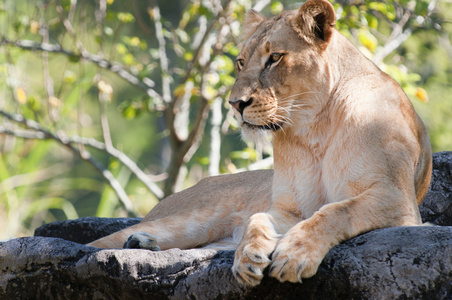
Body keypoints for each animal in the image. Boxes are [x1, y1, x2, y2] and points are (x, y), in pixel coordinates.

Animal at [87, 0, 430, 288]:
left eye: (274, 58)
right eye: (241, 62)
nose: (235, 103)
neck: (314, 126)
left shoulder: (397, 201)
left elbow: (336, 211)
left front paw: (294, 255)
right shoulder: (289, 209)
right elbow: (258, 218)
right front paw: (248, 256)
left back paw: (143, 244)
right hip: (186, 221)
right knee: (95, 246)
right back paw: (138, 243)